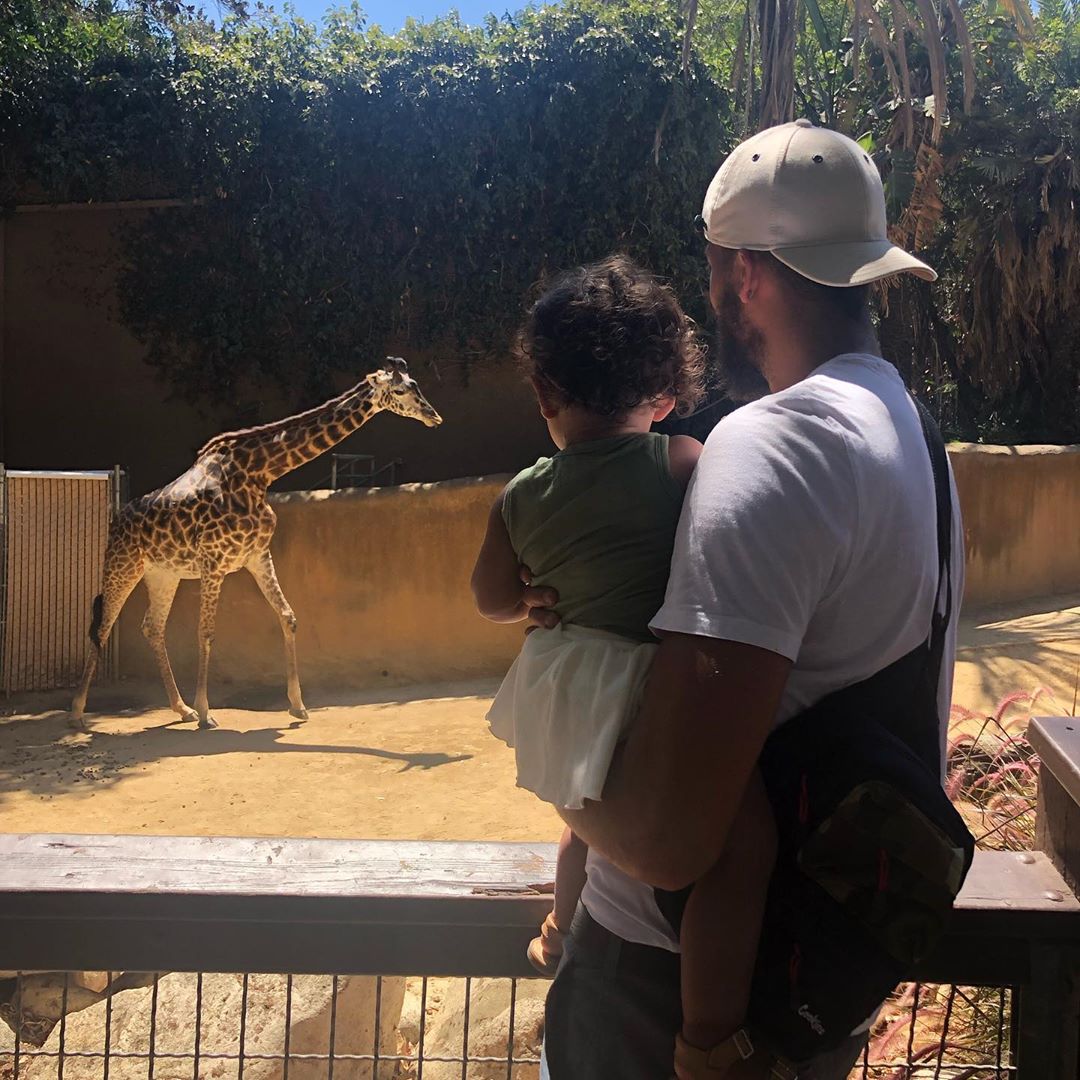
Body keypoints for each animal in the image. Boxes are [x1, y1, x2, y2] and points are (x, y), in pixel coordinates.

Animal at [69, 358, 440, 730]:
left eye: (416, 385)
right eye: (400, 390)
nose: (433, 416)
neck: (260, 474)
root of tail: (116, 519)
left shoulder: (258, 555)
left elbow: (288, 616)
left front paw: (298, 706)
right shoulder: (214, 562)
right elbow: (206, 632)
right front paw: (206, 712)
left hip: (163, 574)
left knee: (152, 627)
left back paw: (180, 708)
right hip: (122, 566)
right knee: (102, 628)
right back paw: (78, 713)